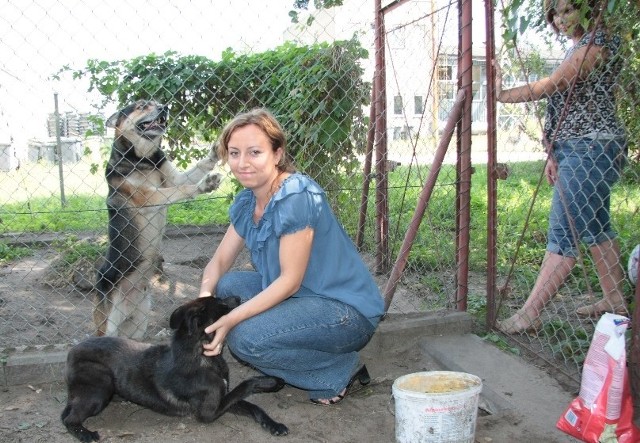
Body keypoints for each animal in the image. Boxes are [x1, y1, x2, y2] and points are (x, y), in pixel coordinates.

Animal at [60, 296, 290, 442]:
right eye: (220, 302)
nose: (240, 296)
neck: (203, 356)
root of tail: (72, 351)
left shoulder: (223, 398)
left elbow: (253, 406)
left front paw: (273, 425)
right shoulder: (208, 413)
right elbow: (245, 385)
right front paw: (272, 381)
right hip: (100, 388)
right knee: (69, 419)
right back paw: (86, 434)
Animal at [94, 100, 224, 338]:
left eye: (156, 103)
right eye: (141, 106)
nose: (165, 107)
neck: (143, 158)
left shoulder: (173, 178)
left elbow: (196, 169)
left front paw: (214, 154)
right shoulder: (148, 197)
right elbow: (180, 190)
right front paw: (203, 185)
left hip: (141, 317)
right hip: (108, 324)